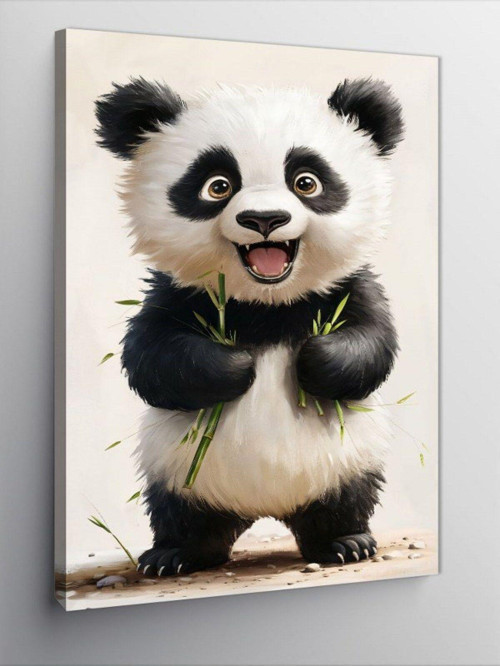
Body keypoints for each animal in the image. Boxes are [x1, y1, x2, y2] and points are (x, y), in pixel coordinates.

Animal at [95, 77, 403, 575]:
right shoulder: (176, 295)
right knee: (180, 513)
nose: (264, 220)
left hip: (350, 460)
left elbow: (373, 345)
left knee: (345, 500)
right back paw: (173, 554)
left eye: (306, 182)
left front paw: (314, 358)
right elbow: (151, 360)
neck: (267, 304)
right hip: (176, 472)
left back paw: (345, 542)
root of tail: (264, 510)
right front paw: (235, 363)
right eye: (217, 186)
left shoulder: (350, 288)